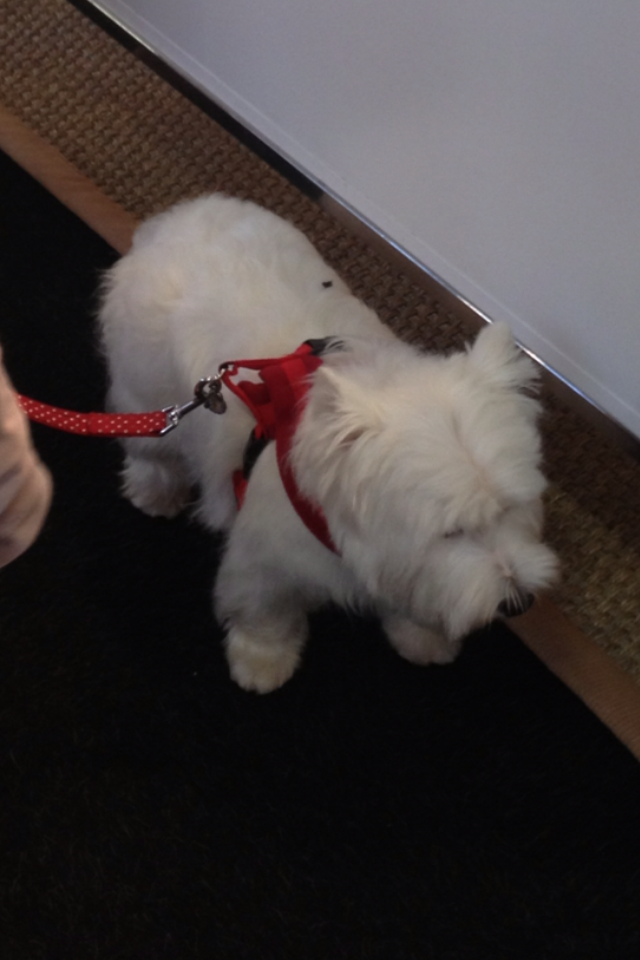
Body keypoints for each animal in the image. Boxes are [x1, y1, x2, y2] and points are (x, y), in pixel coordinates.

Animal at [97, 193, 556, 688]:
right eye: (451, 531)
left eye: (511, 507)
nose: (518, 603)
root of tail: (181, 218)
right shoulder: (267, 564)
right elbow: (266, 614)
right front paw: (262, 664)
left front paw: (425, 638)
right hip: (147, 388)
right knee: (151, 447)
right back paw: (156, 492)